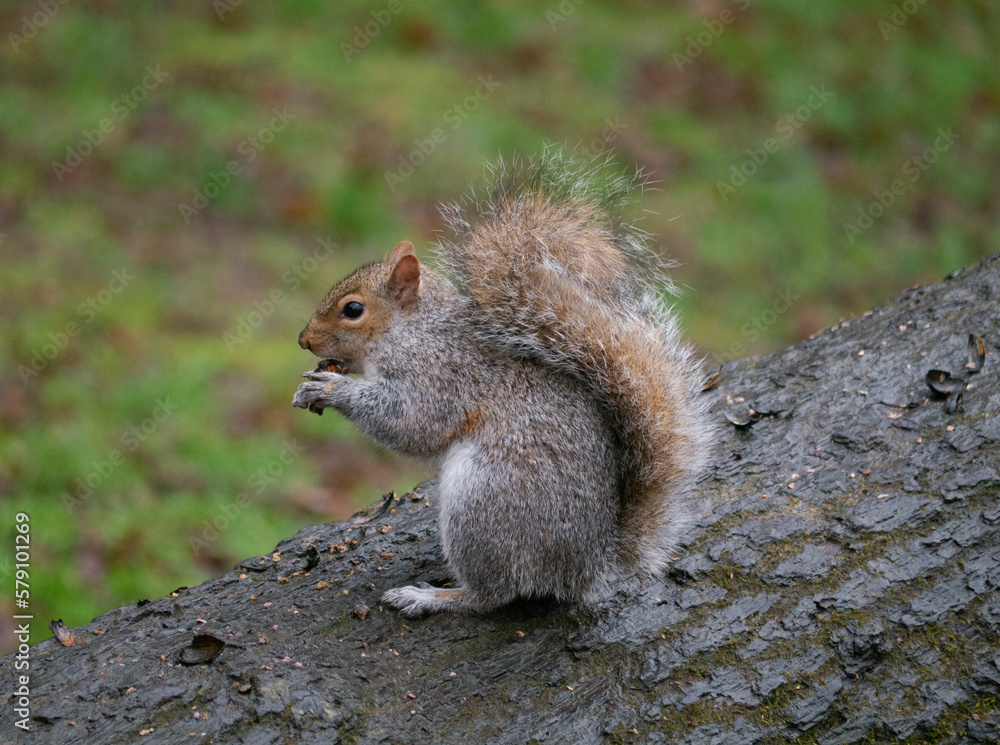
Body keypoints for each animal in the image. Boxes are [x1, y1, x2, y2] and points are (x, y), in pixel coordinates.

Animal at [292, 154, 716, 612]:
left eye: (353, 309)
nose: (303, 341)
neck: (414, 329)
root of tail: (588, 566)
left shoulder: (440, 373)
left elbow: (411, 422)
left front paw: (331, 390)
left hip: (483, 501)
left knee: (494, 593)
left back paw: (433, 597)